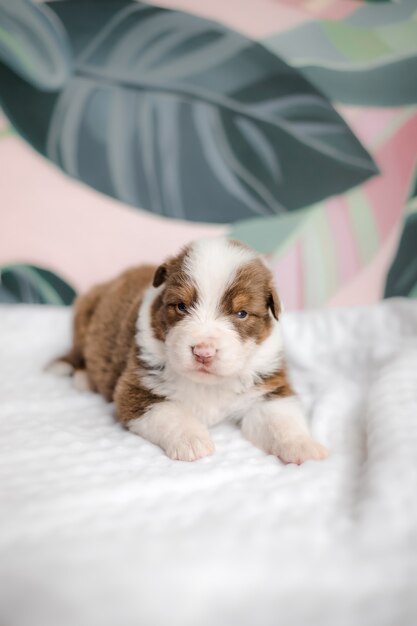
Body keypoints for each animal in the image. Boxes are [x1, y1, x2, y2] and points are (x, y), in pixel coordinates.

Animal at [49, 236, 328, 460]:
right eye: (181, 306)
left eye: (242, 313)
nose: (203, 352)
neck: (209, 384)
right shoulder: (138, 386)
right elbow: (171, 412)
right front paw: (192, 441)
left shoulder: (267, 385)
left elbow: (281, 419)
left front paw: (303, 445)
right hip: (84, 312)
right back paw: (81, 376)